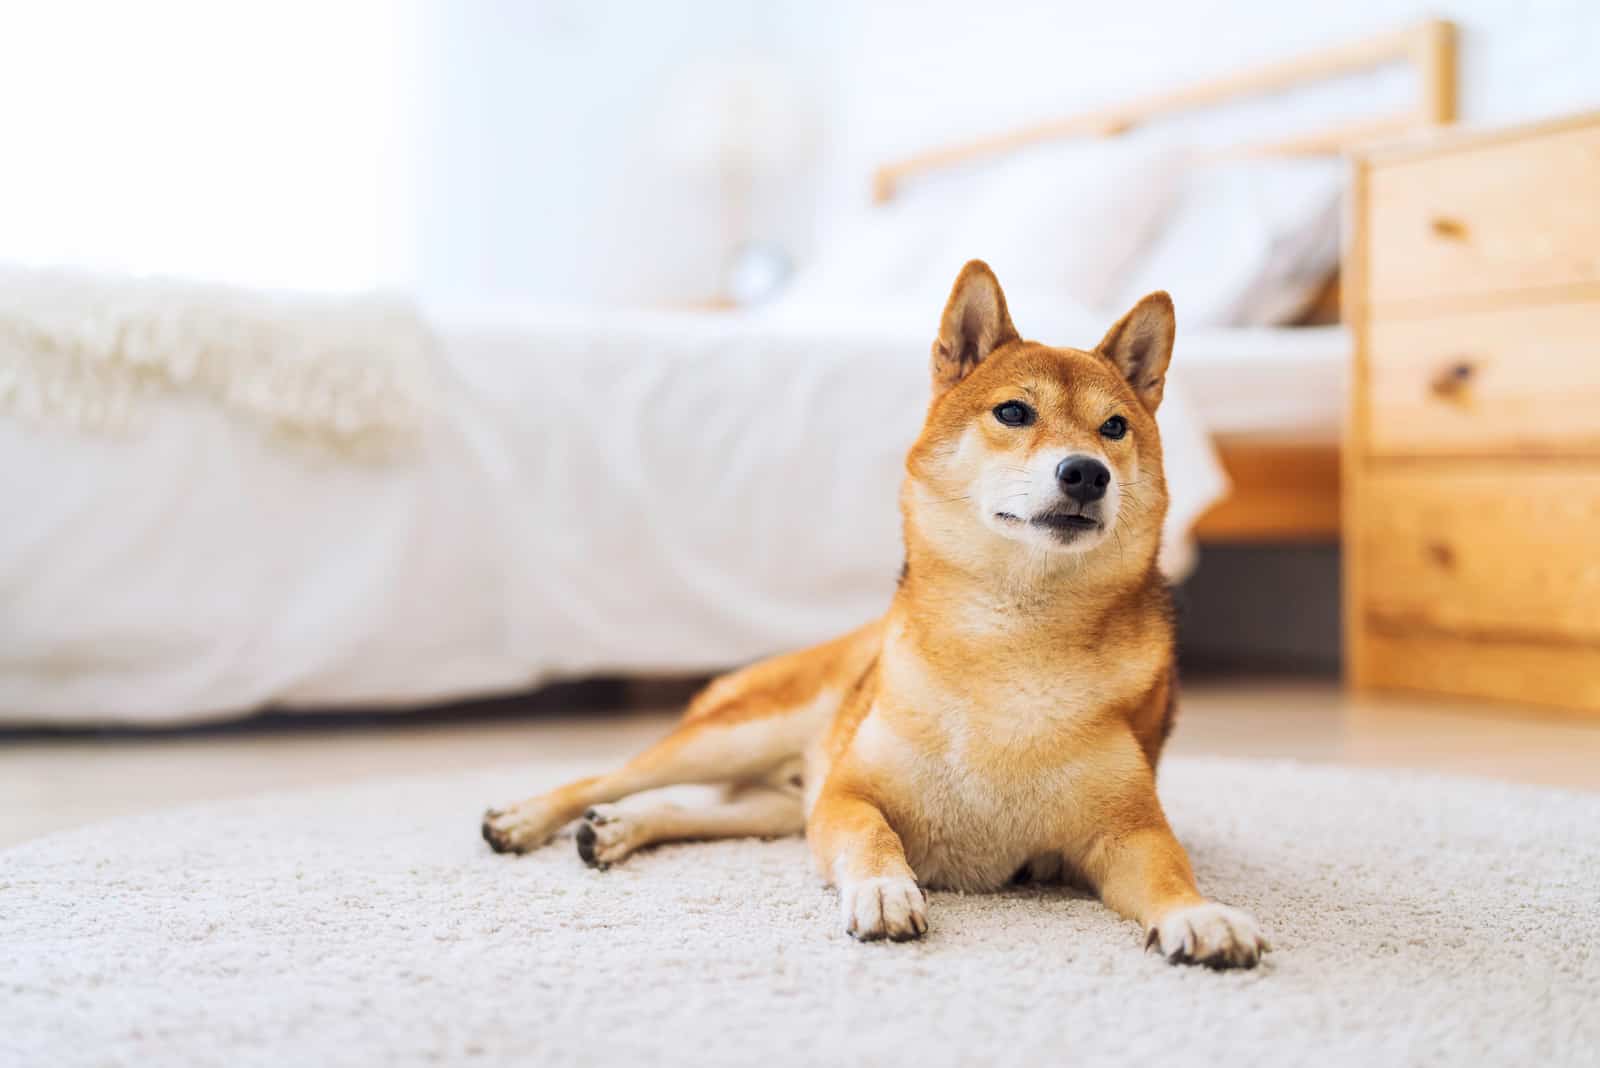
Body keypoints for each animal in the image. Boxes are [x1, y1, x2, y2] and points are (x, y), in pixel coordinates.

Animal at [480, 259, 1267, 965]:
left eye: (1114, 428)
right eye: (1014, 412)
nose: (1086, 474)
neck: (1011, 638)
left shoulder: (1128, 830)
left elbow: (1171, 872)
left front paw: (1201, 916)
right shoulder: (850, 795)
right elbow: (873, 837)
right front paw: (887, 891)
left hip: (782, 797)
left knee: (697, 812)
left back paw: (616, 830)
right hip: (741, 736)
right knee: (611, 777)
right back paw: (529, 817)